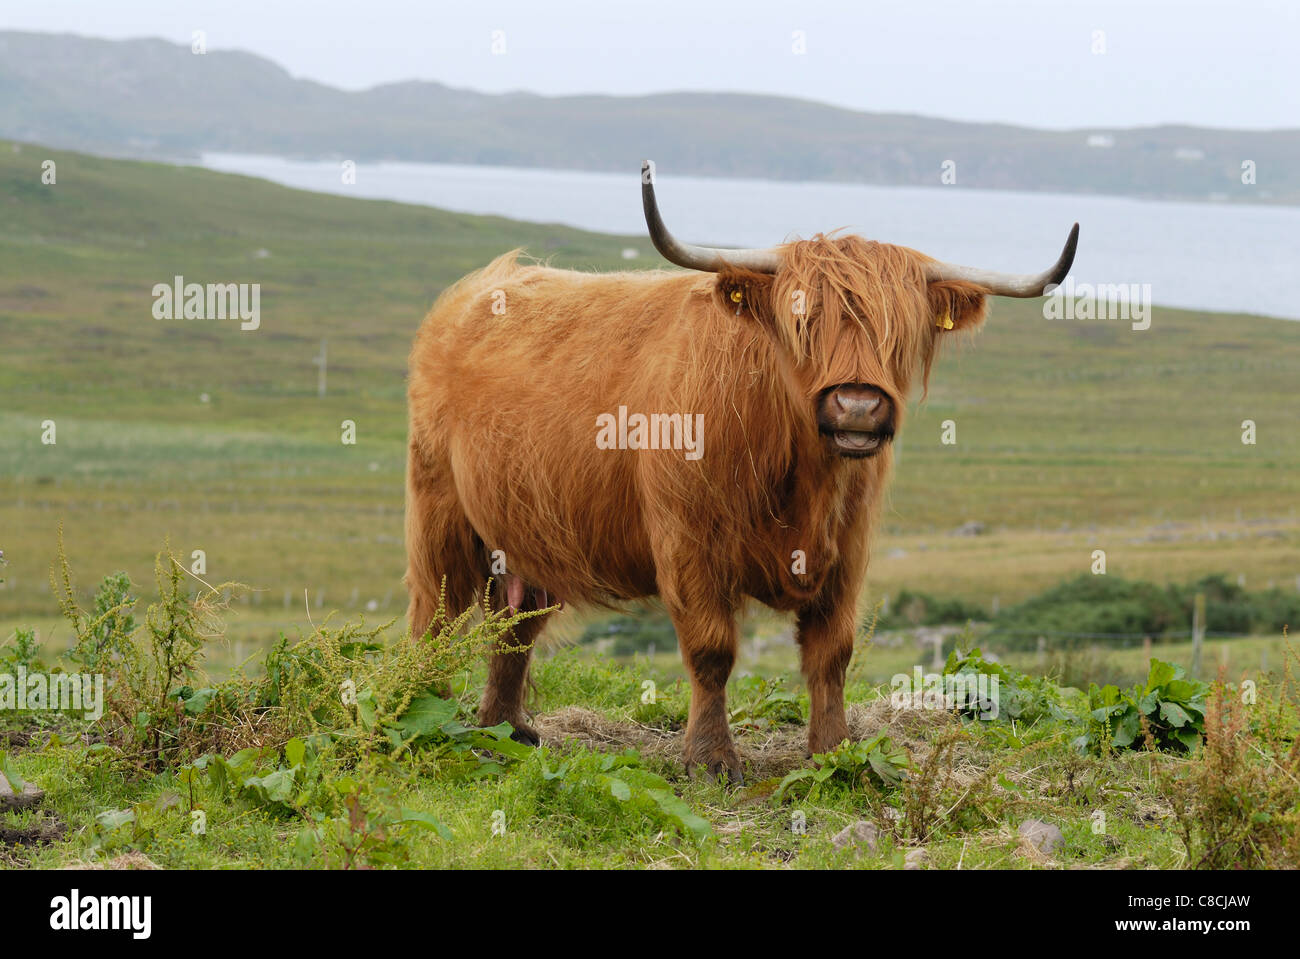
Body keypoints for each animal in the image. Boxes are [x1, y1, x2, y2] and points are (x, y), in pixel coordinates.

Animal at [405, 161, 1078, 782]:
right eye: (803, 323)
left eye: (901, 331)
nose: (857, 406)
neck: (801, 472)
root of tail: (486, 284)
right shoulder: (687, 541)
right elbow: (712, 651)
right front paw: (711, 759)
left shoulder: (850, 547)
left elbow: (832, 652)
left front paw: (834, 752)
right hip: (439, 509)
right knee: (434, 618)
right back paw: (422, 716)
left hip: (525, 535)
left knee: (513, 627)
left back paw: (505, 730)